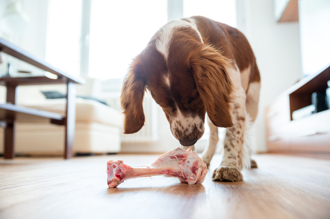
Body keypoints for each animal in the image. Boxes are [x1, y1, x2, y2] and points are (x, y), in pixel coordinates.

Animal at [119, 16, 260, 182]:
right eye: (162, 103)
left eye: (194, 97)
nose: (188, 140)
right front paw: (184, 163)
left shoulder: (234, 97)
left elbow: (233, 136)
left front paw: (229, 166)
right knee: (214, 135)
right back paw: (206, 158)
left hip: (248, 104)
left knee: (246, 132)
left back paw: (248, 160)